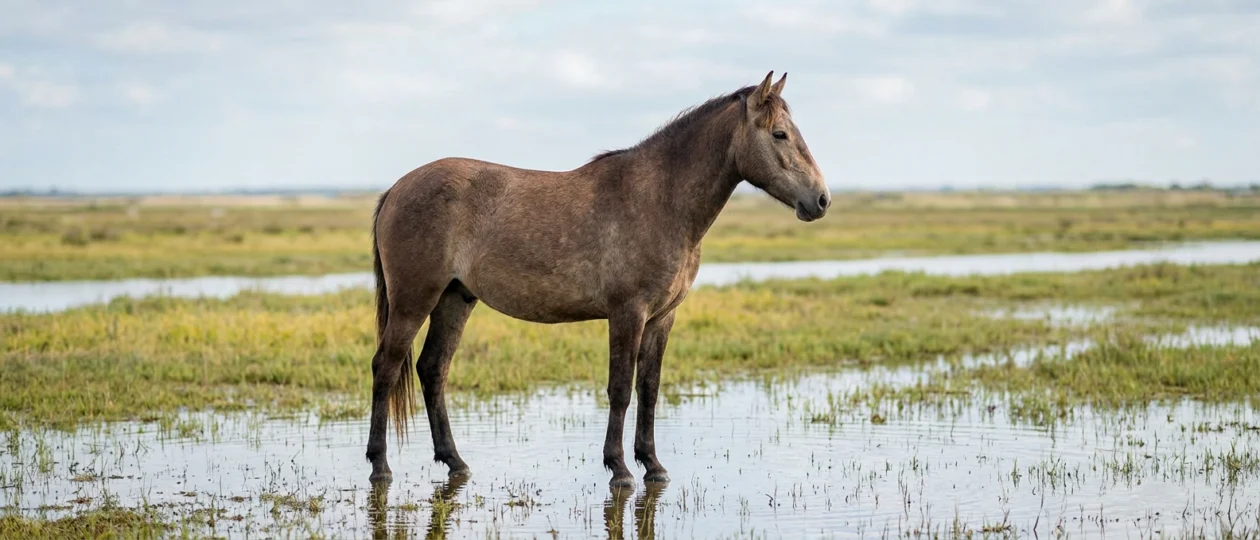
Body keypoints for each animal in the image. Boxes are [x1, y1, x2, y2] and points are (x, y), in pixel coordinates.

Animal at [366, 71, 830, 489]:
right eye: (780, 134)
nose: (821, 200)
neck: (661, 199)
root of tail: (397, 189)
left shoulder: (662, 318)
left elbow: (649, 387)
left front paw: (653, 464)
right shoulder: (628, 313)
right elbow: (620, 388)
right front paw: (620, 468)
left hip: (454, 298)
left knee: (433, 369)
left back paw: (455, 462)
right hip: (414, 300)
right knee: (386, 367)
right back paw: (380, 466)